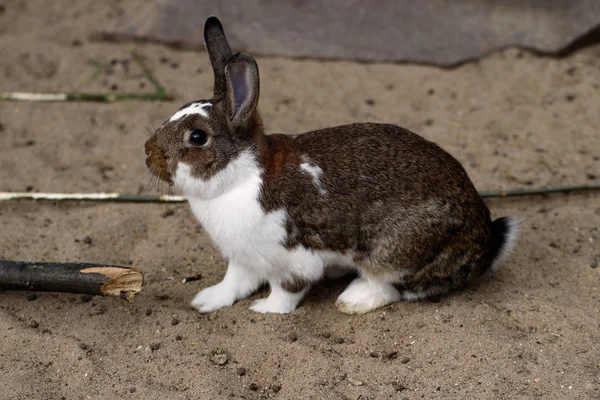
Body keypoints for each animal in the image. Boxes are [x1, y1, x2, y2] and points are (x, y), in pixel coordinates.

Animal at [143, 15, 516, 314]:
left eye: (197, 137)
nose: (148, 152)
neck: (240, 176)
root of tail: (485, 242)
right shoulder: (243, 257)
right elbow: (234, 282)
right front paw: (206, 301)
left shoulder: (291, 259)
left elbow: (287, 290)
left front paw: (265, 309)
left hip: (392, 251)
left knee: (395, 286)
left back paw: (353, 300)